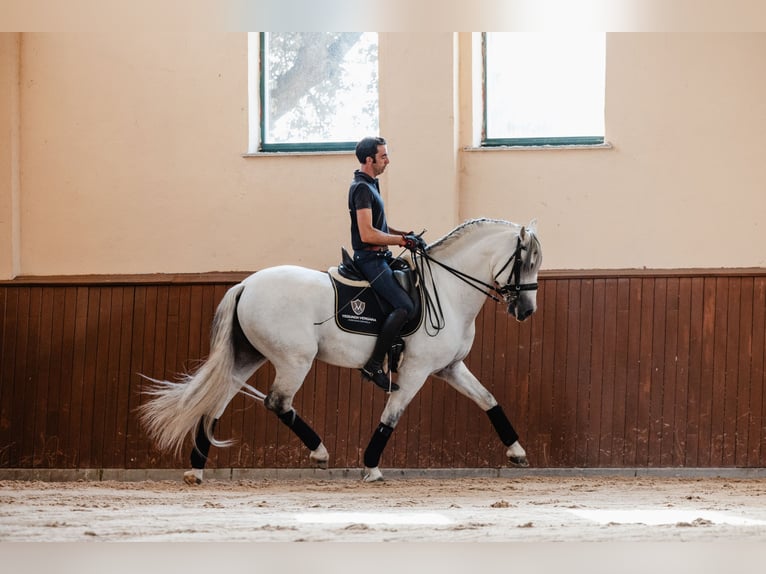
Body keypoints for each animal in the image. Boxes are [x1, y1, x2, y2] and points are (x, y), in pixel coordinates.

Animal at [141, 220, 544, 486]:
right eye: (525, 262)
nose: (526, 311)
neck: (447, 290)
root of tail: (245, 285)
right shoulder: (416, 370)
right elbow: (391, 417)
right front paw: (371, 466)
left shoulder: (450, 367)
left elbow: (489, 400)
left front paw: (517, 452)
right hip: (294, 359)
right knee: (278, 402)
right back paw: (319, 453)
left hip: (248, 356)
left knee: (216, 404)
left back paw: (196, 470)